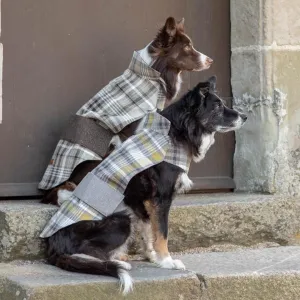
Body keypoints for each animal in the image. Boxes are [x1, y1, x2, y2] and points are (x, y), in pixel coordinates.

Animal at [44, 76, 246, 294]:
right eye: (217, 106)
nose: (245, 116)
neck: (176, 132)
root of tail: (54, 247)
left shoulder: (141, 204)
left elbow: (150, 231)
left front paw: (153, 257)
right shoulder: (161, 199)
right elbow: (163, 232)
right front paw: (167, 261)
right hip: (121, 220)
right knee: (85, 252)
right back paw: (117, 263)